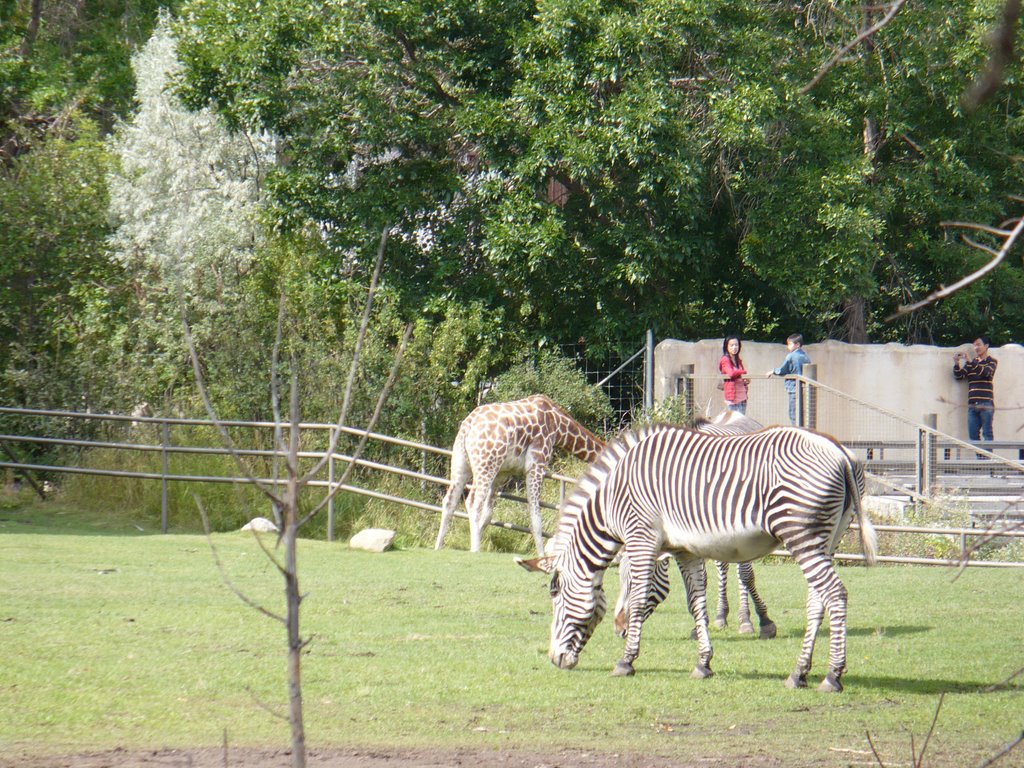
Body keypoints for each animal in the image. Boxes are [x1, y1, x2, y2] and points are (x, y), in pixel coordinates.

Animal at [434, 397, 606, 552]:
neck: (559, 426)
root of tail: (468, 425)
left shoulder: (502, 474)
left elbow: (488, 515)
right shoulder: (537, 465)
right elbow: (535, 518)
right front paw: (542, 555)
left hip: (461, 463)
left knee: (449, 501)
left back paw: (438, 547)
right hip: (486, 465)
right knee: (473, 502)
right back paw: (475, 550)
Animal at [548, 423, 876, 696]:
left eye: (556, 598)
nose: (554, 660)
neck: (611, 498)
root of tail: (838, 450)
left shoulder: (641, 537)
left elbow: (639, 600)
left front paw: (626, 661)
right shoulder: (684, 549)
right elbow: (696, 603)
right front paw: (703, 663)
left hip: (801, 534)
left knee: (835, 594)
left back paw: (832, 676)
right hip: (828, 539)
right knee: (817, 601)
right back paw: (799, 673)